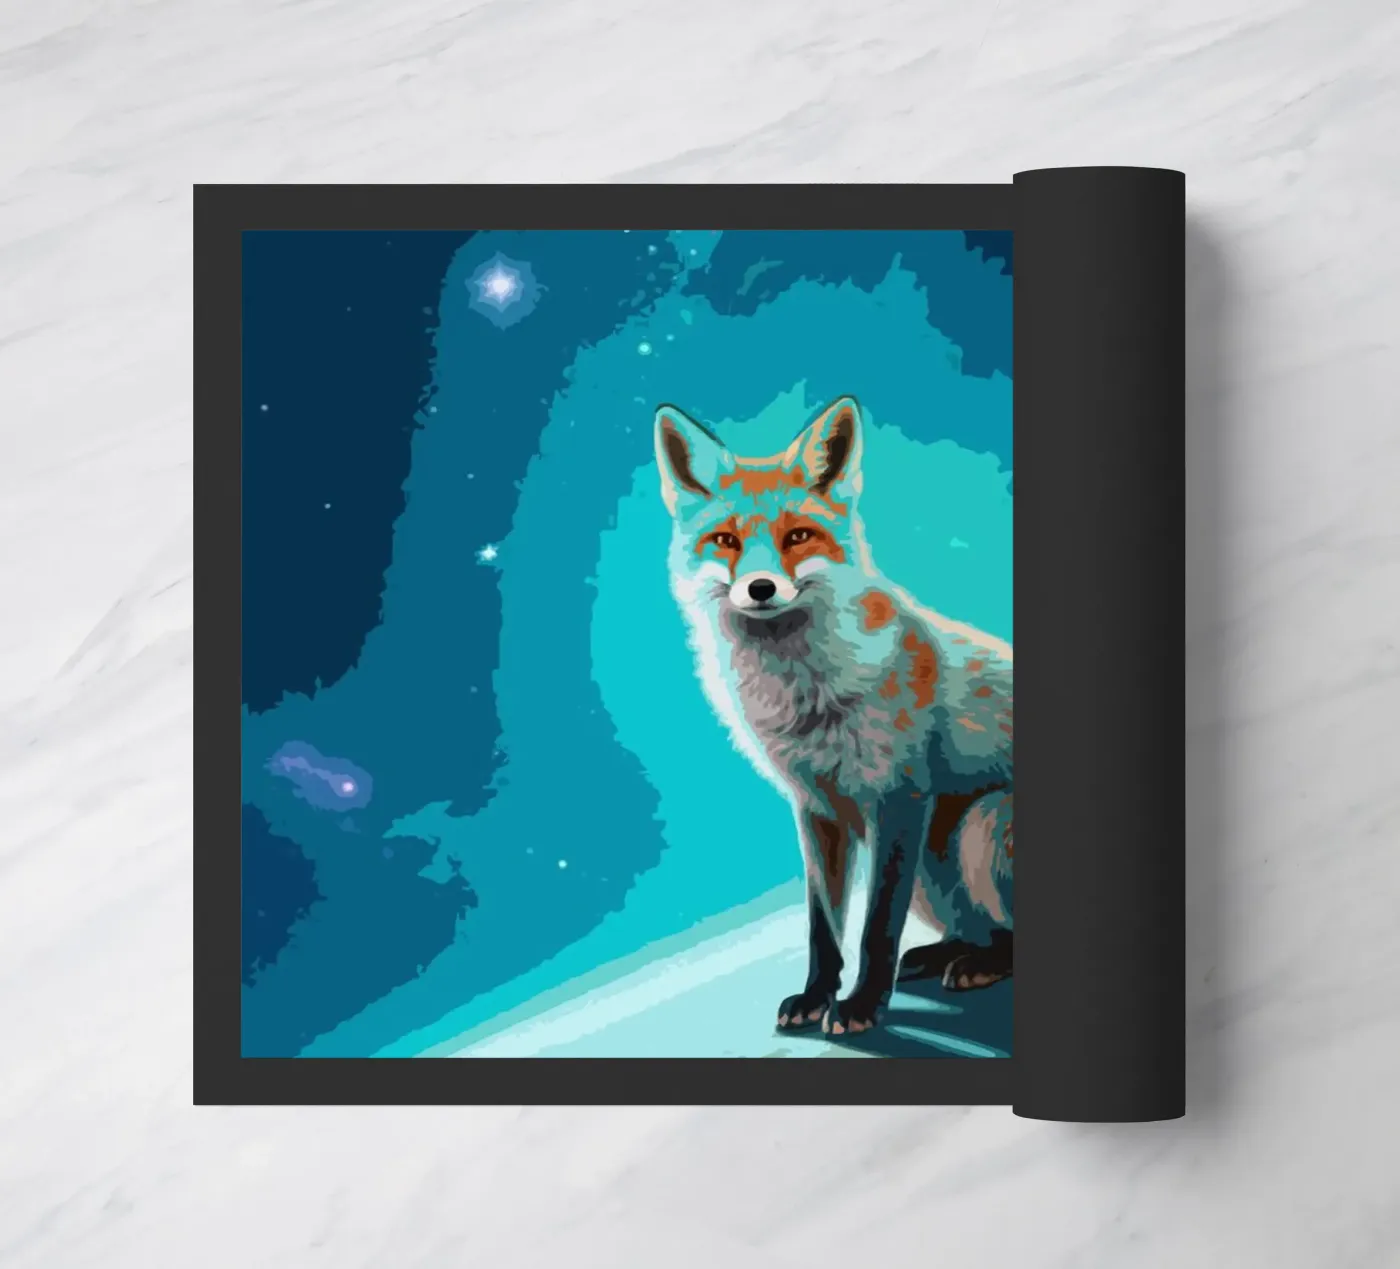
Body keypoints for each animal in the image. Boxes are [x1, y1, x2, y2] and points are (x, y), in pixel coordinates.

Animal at [655, 394, 1013, 1036]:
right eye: (724, 540)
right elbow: (823, 929)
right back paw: (948, 955)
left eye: (799, 535)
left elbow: (876, 928)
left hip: (980, 823)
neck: (805, 698)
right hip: (937, 861)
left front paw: (862, 1005)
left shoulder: (898, 799)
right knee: (980, 929)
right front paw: (816, 996)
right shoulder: (816, 807)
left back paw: (977, 966)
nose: (761, 587)